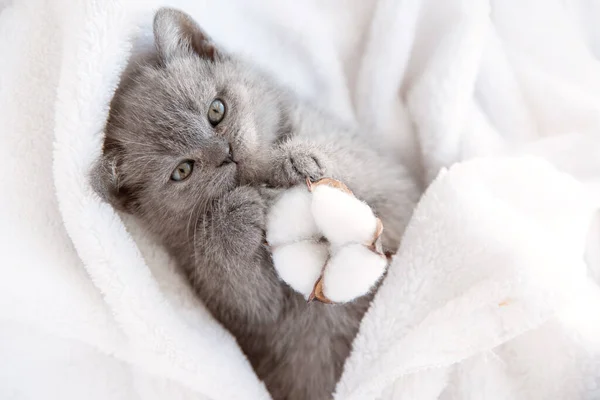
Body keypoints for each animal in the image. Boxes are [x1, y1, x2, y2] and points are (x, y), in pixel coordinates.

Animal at [94, 7, 420, 400]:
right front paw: (233, 216)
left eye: (216, 110)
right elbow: (254, 302)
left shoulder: (392, 180)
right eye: (182, 170)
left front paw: (296, 159)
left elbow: (357, 162)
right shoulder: (236, 307)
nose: (226, 153)